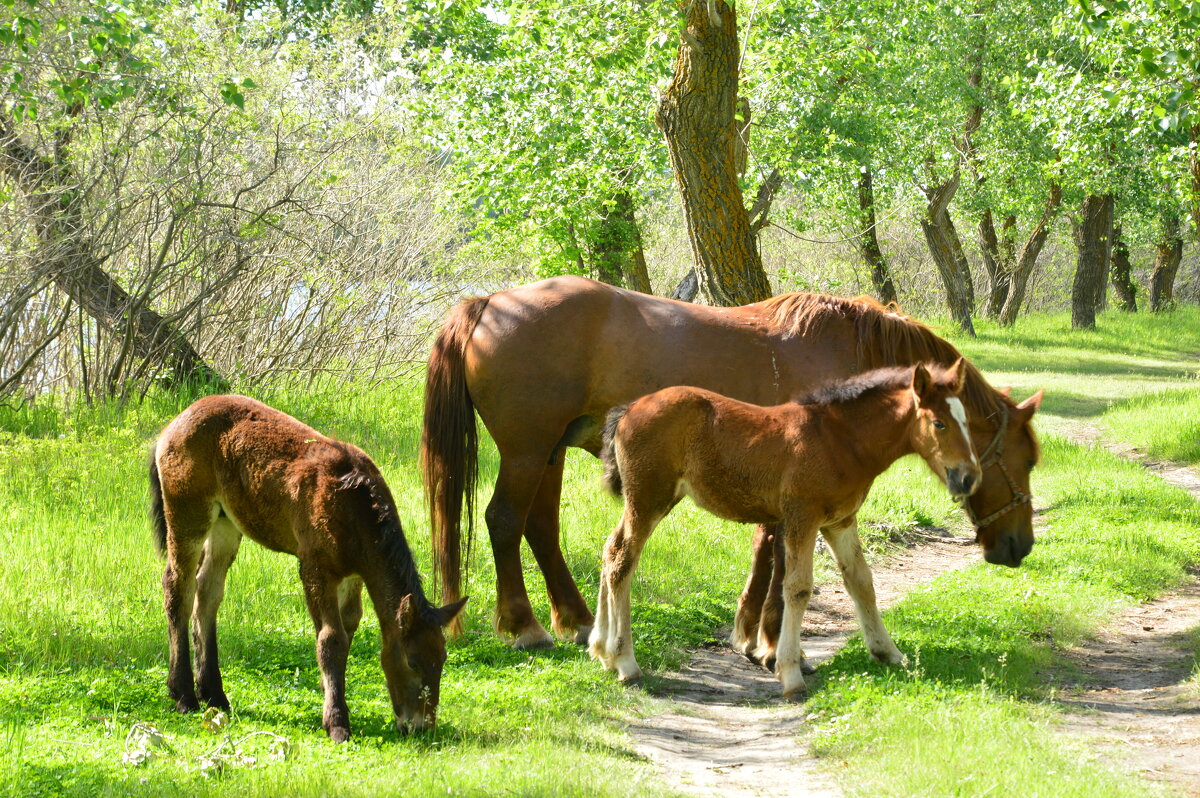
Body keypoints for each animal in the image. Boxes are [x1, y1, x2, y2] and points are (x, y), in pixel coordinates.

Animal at [151, 396, 468, 739]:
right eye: (412, 662)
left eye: (442, 659)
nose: (421, 726)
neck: (353, 509)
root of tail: (172, 425)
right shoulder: (315, 568)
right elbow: (331, 638)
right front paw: (337, 722)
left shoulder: (354, 575)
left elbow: (348, 627)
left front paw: (329, 695)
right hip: (187, 512)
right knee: (178, 587)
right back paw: (183, 694)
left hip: (226, 523)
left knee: (207, 593)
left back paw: (214, 694)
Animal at [424, 273, 1041, 648]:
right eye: (1023, 460)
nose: (1020, 546)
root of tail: (487, 305)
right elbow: (778, 553)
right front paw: (767, 635)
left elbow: (766, 547)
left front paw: (751, 629)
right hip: (527, 452)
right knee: (505, 522)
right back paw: (524, 626)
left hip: (548, 454)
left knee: (540, 528)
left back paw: (575, 620)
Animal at [590, 357, 974, 696]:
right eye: (939, 423)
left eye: (966, 420)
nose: (968, 478)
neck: (838, 441)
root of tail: (629, 408)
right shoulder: (803, 518)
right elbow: (798, 588)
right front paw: (790, 674)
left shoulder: (840, 522)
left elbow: (861, 582)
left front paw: (888, 652)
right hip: (648, 500)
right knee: (623, 559)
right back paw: (626, 662)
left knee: (610, 551)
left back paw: (602, 651)